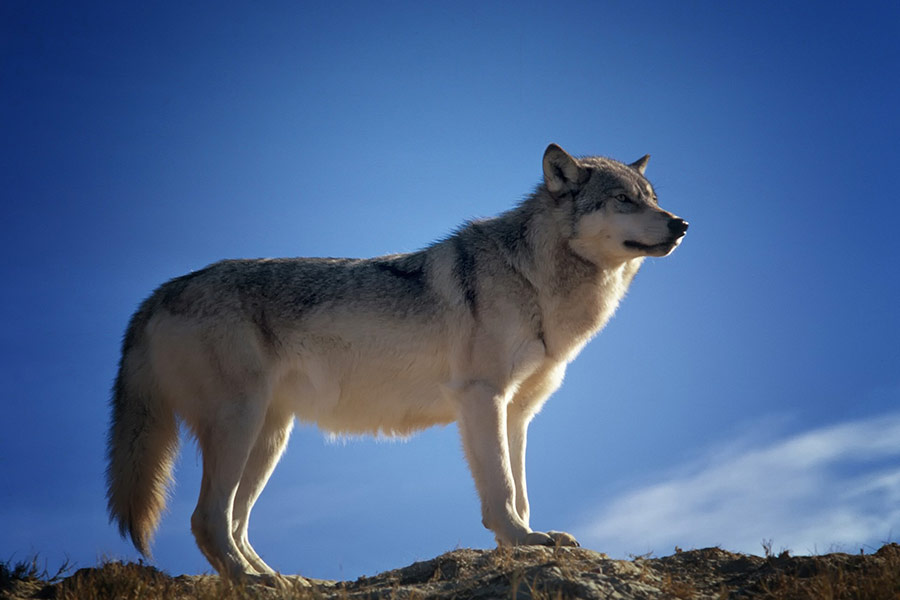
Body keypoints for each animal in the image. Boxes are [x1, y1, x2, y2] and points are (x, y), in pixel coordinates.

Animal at [106, 143, 688, 580]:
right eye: (623, 200)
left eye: (652, 199)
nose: (681, 224)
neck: (533, 278)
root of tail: (158, 294)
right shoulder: (482, 398)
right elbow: (501, 489)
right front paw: (521, 542)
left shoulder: (518, 412)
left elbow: (521, 491)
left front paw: (528, 540)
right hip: (240, 426)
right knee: (207, 520)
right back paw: (252, 582)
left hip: (270, 438)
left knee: (235, 522)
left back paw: (281, 580)